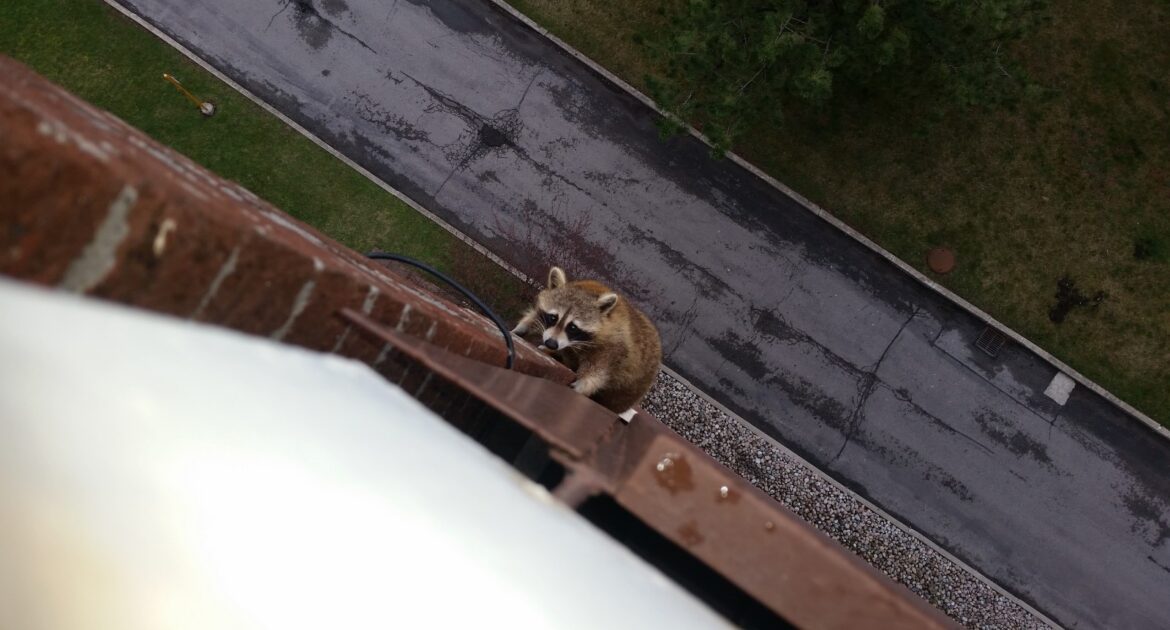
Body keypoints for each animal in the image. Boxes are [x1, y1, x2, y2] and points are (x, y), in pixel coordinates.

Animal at [510, 264, 659, 416]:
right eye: (553, 317)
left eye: (573, 327)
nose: (551, 344)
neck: (591, 289)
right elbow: (535, 317)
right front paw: (523, 326)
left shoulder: (613, 347)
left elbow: (597, 371)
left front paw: (584, 384)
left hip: (627, 391)